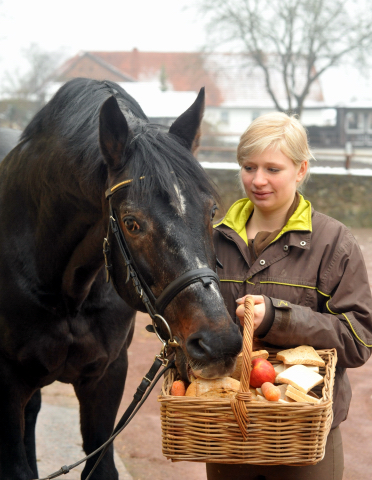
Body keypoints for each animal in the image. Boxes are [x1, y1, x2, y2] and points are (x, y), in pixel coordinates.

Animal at [0, 77, 241, 478]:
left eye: (211, 212)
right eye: (132, 223)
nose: (218, 343)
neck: (67, 290)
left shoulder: (107, 375)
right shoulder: (8, 382)